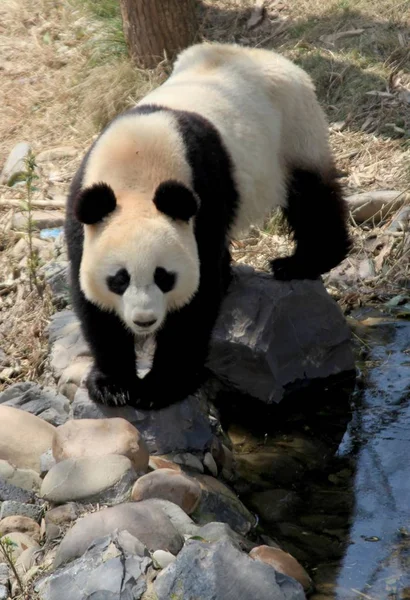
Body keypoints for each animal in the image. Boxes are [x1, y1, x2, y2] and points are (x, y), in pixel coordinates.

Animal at [65, 41, 352, 408]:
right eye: (119, 279)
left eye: (164, 277)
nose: (144, 321)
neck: (136, 170)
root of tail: (263, 53)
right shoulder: (84, 211)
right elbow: (93, 306)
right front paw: (113, 385)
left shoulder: (203, 194)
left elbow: (199, 294)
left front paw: (162, 385)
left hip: (292, 129)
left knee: (311, 196)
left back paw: (302, 261)